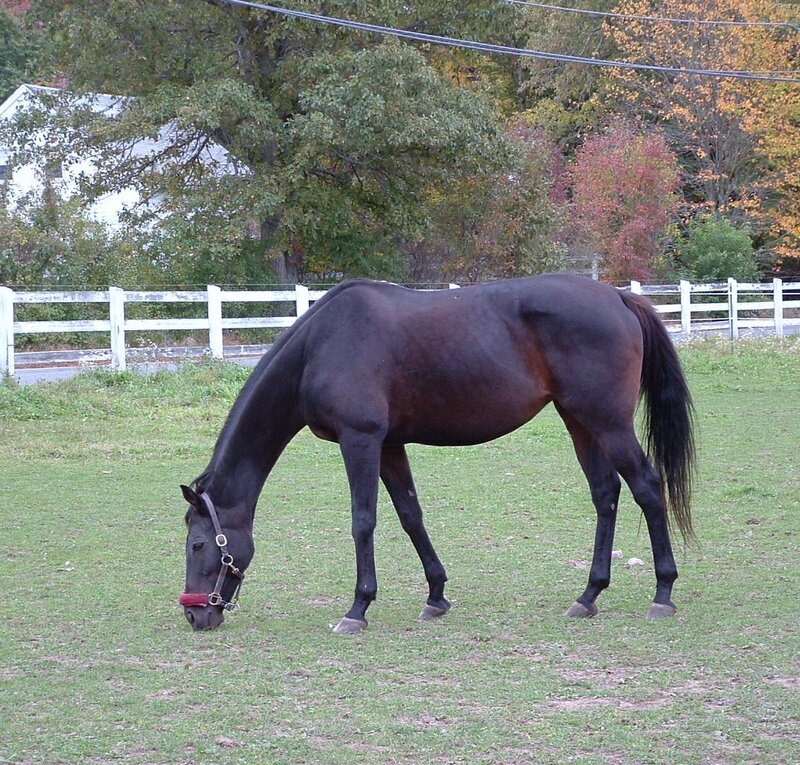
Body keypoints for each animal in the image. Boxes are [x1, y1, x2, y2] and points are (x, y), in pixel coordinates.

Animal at [179, 273, 695, 632]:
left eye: (198, 544)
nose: (196, 615)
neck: (321, 345)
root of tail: (618, 297)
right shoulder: (389, 445)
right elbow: (411, 515)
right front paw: (436, 597)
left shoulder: (360, 440)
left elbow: (363, 521)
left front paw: (358, 608)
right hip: (580, 421)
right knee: (605, 495)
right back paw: (588, 596)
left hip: (607, 423)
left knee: (647, 488)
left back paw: (663, 592)